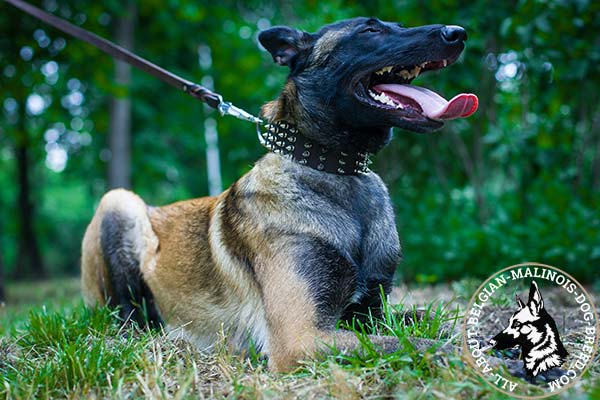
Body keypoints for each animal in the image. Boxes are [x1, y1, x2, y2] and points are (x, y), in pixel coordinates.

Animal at [81, 17, 477, 372]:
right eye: (370, 30)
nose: (457, 33)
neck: (334, 170)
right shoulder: (300, 338)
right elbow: (416, 343)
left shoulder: (370, 313)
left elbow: (428, 319)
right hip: (119, 201)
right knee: (129, 318)